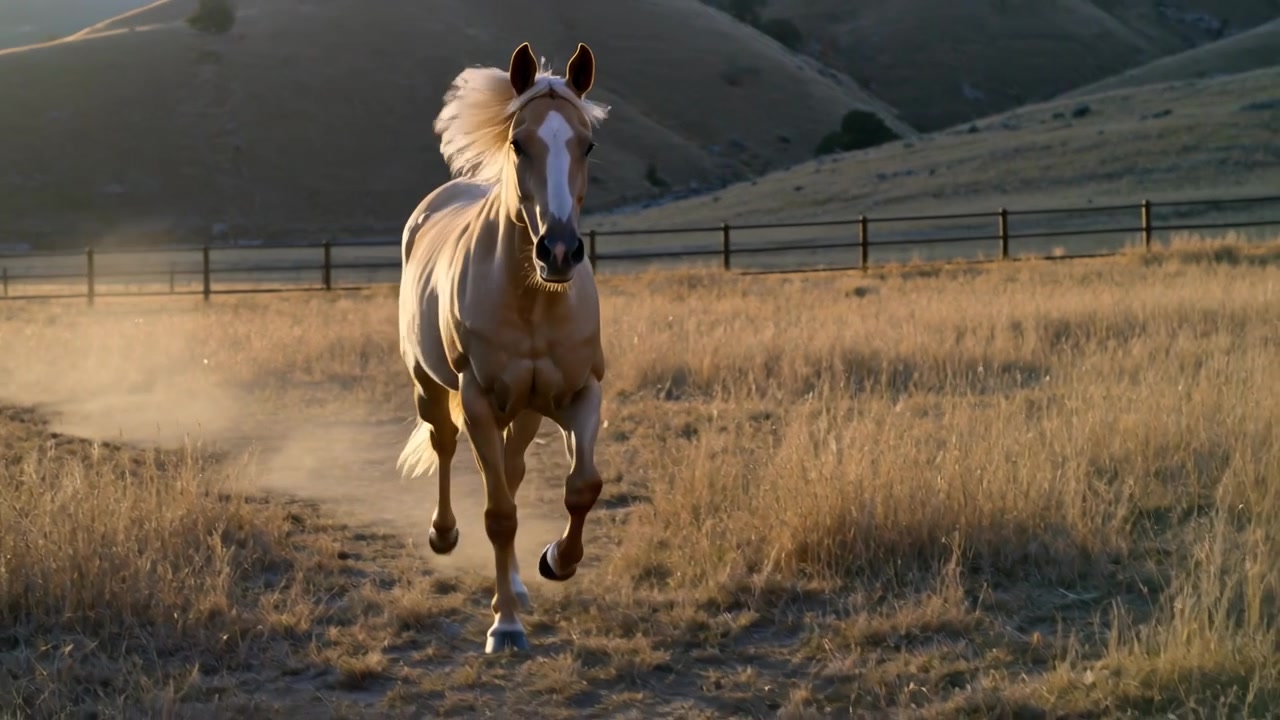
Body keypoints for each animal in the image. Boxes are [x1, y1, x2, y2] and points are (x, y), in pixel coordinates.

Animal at [396, 41, 610, 654]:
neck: (534, 301)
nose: (558, 251)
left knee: (511, 474)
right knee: (446, 447)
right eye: (519, 142)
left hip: (528, 411)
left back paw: (516, 582)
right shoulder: (479, 401)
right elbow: (498, 516)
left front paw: (556, 561)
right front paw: (506, 626)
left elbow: (583, 486)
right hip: (431, 387)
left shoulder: (581, 393)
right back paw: (445, 535)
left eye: (587, 143)